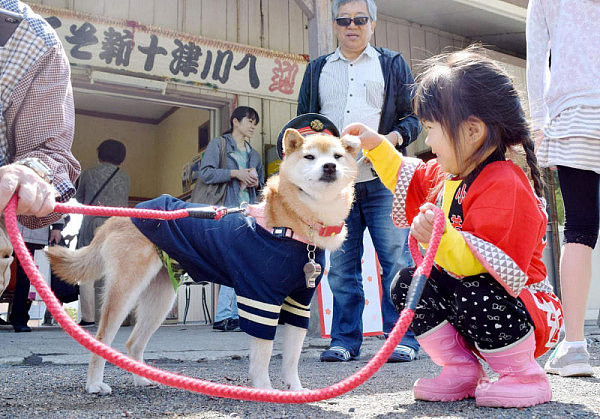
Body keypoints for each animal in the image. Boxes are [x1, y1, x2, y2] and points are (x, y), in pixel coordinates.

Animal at [48, 114, 360, 394]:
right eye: (309, 157)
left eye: (337, 156)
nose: (330, 166)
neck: (293, 227)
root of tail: (120, 215)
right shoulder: (261, 299)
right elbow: (263, 356)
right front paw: (265, 390)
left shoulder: (299, 303)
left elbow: (292, 358)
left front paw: (295, 389)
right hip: (126, 289)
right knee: (103, 338)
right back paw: (94, 384)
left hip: (161, 298)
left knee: (132, 343)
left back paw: (141, 379)